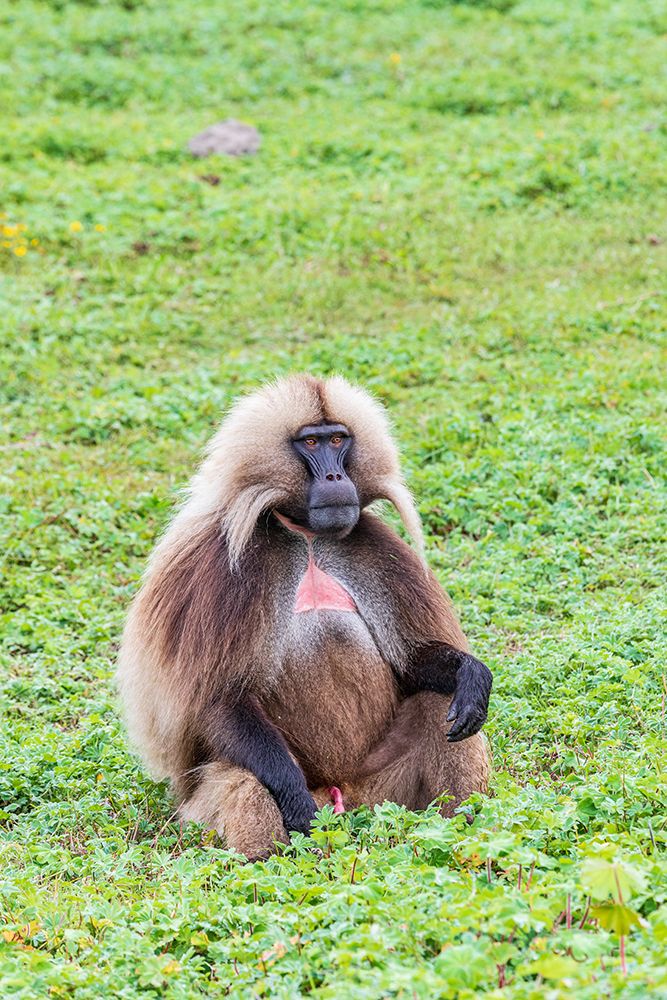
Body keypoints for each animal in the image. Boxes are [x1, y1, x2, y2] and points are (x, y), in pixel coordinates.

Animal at [117, 374, 492, 860]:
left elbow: (412, 666)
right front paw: (292, 800)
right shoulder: (218, 572)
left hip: (383, 791)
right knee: (245, 780)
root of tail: (343, 794)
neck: (308, 538)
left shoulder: (374, 548)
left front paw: (473, 675)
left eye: (338, 439)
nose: (335, 477)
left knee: (439, 705)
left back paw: (462, 828)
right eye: (310, 442)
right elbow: (219, 701)